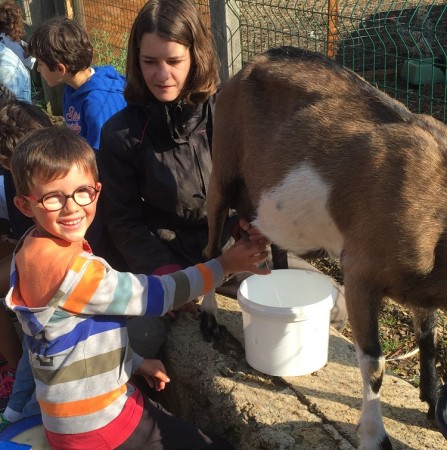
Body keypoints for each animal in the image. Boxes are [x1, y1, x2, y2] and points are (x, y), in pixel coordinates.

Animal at [202, 46, 447, 450]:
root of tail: (248, 66)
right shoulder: (361, 272)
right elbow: (374, 363)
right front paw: (374, 435)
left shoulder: (420, 288)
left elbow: (428, 337)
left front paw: (433, 402)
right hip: (221, 170)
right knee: (209, 248)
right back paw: (207, 318)